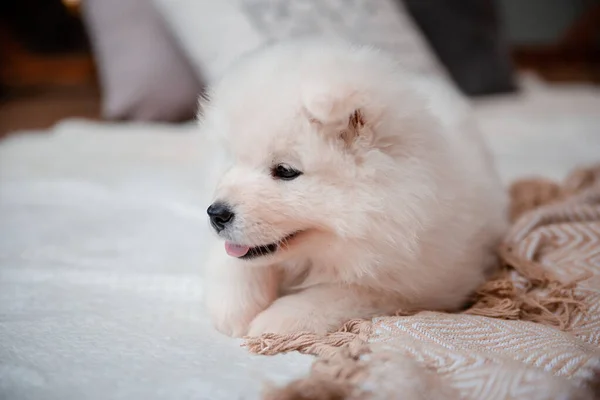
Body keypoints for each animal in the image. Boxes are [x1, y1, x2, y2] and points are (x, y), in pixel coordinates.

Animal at [200, 39, 506, 338]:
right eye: (233, 160)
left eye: (285, 171)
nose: (216, 214)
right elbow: (234, 262)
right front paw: (234, 310)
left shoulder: (423, 287)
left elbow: (342, 293)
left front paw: (277, 321)